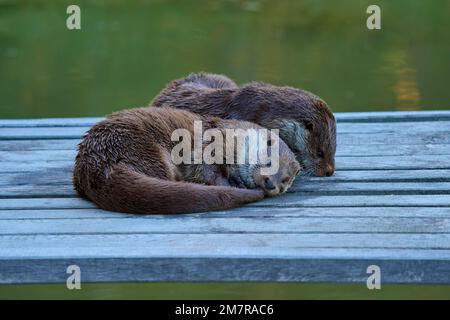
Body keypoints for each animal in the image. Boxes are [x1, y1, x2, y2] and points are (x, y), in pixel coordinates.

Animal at [73, 106, 298, 214]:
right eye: (268, 163)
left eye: (285, 180)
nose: (271, 184)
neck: (228, 136)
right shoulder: (207, 146)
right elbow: (204, 169)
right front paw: (230, 182)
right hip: (149, 151)